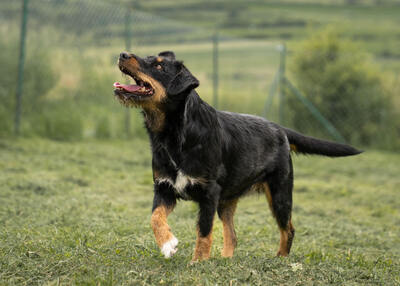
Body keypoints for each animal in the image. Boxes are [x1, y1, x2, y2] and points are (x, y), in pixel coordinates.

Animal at [113, 50, 362, 262]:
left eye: (158, 66)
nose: (122, 54)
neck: (175, 136)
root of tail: (280, 128)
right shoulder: (164, 188)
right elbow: (155, 217)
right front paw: (168, 245)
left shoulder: (209, 193)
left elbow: (204, 231)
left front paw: (198, 262)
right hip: (227, 201)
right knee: (232, 236)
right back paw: (225, 260)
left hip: (280, 193)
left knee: (288, 229)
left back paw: (280, 258)